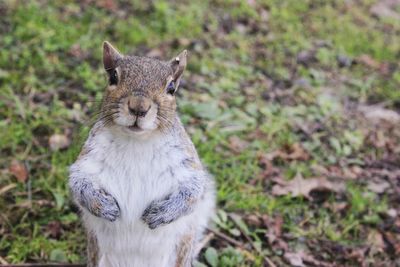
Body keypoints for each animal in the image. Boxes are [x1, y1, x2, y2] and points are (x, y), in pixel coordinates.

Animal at [70, 42, 217, 267]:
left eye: (171, 88)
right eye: (113, 77)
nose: (139, 107)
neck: (137, 142)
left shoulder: (186, 164)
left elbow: (193, 191)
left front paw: (163, 213)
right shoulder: (89, 159)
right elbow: (78, 183)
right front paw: (103, 206)